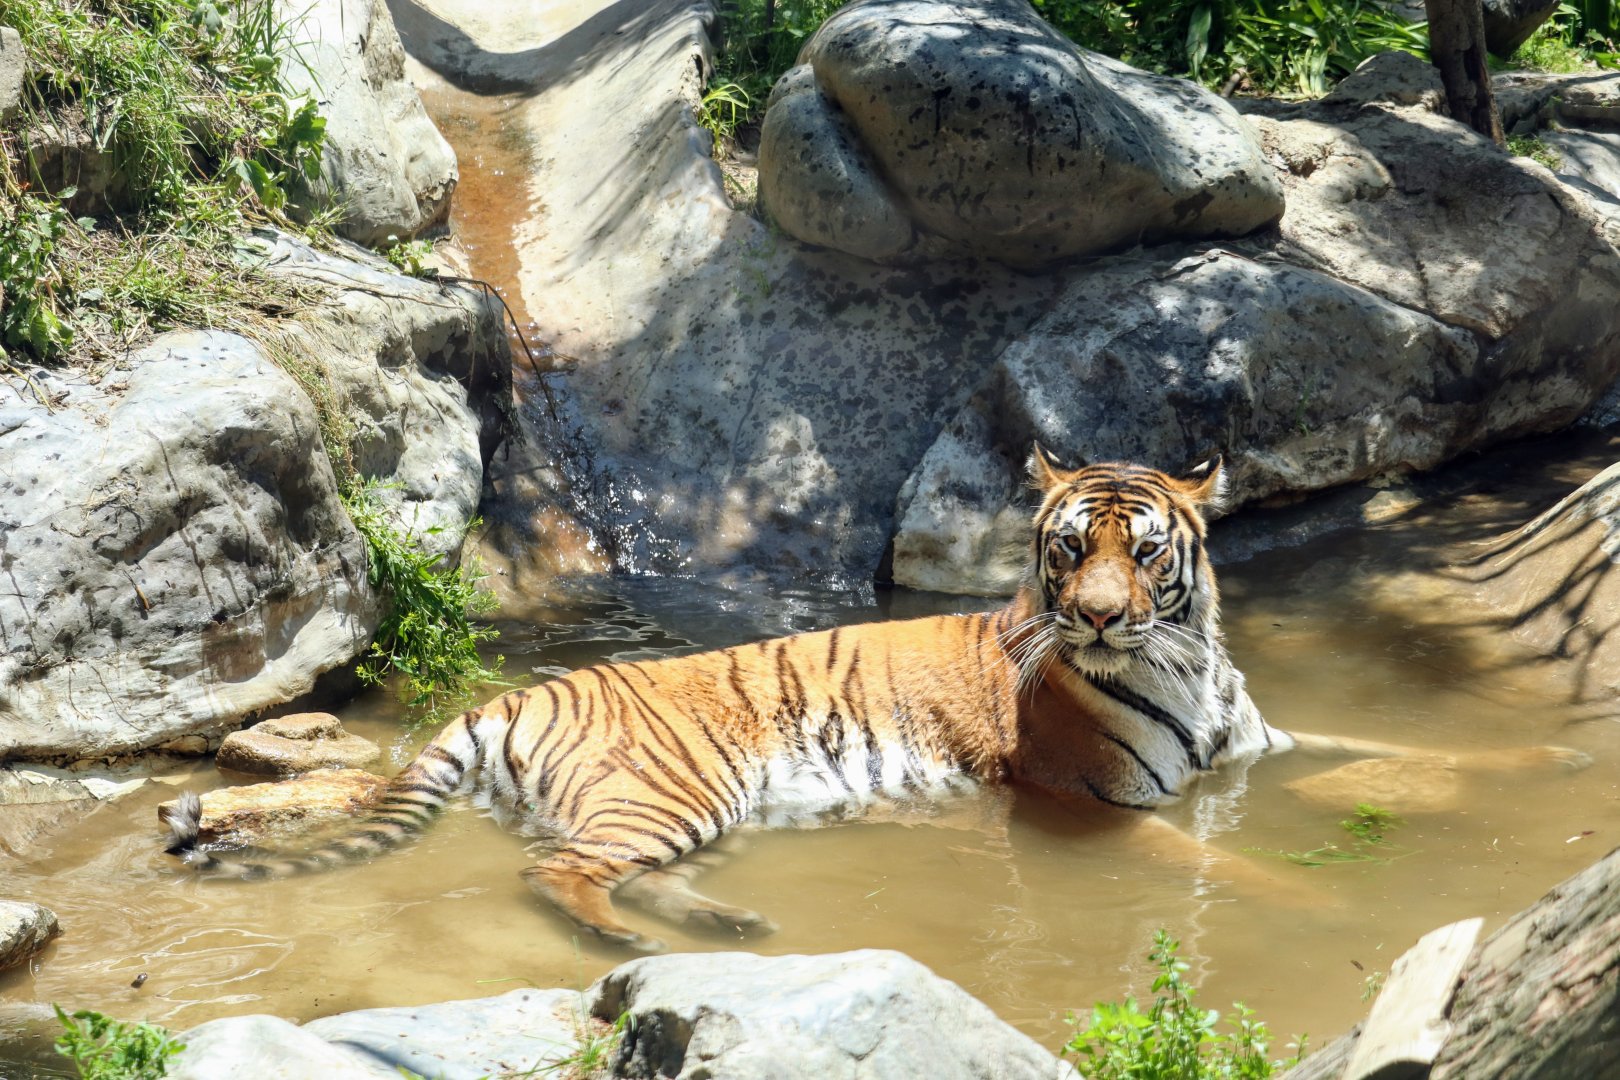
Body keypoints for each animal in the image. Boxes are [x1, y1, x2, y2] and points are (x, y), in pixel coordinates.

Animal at [164, 450, 1590, 951]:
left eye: (1146, 552)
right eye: (1069, 549)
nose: (1099, 616)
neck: (1186, 658)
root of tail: (524, 695)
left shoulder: (1261, 740)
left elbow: (1397, 744)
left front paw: (1541, 771)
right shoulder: (1100, 807)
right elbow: (1242, 870)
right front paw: (1332, 903)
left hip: (697, 815)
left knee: (616, 871)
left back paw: (727, 924)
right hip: (671, 791)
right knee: (557, 874)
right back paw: (627, 949)